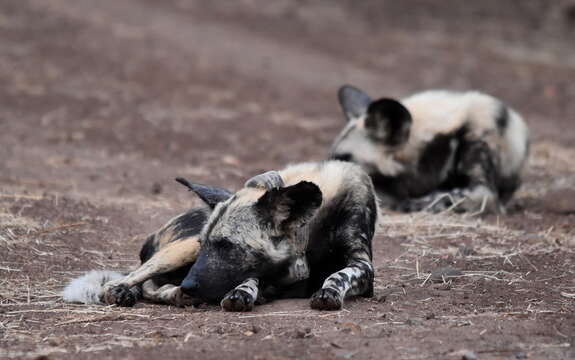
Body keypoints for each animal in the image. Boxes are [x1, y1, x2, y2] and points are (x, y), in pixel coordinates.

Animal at [64, 160, 378, 310]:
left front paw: (327, 291)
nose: (190, 284)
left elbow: (339, 274)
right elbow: (249, 278)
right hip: (180, 252)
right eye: (206, 244)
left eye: (227, 246)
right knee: (128, 282)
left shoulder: (362, 267)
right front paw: (243, 292)